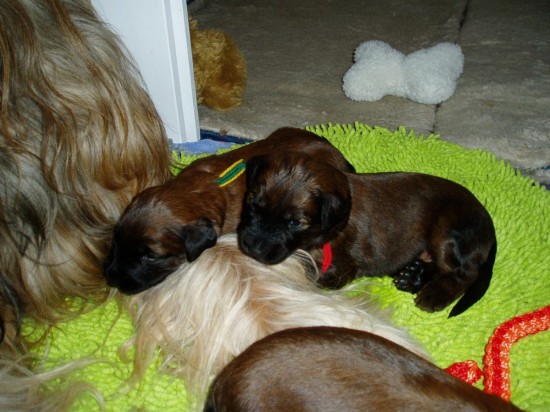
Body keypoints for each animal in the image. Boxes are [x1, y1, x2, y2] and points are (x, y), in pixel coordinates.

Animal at [238, 152, 497, 317]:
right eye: (252, 202)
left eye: (294, 223)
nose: (251, 247)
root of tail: (488, 223)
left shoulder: (342, 268)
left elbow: (312, 276)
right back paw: (412, 276)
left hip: (449, 232)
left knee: (464, 273)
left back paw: (434, 295)